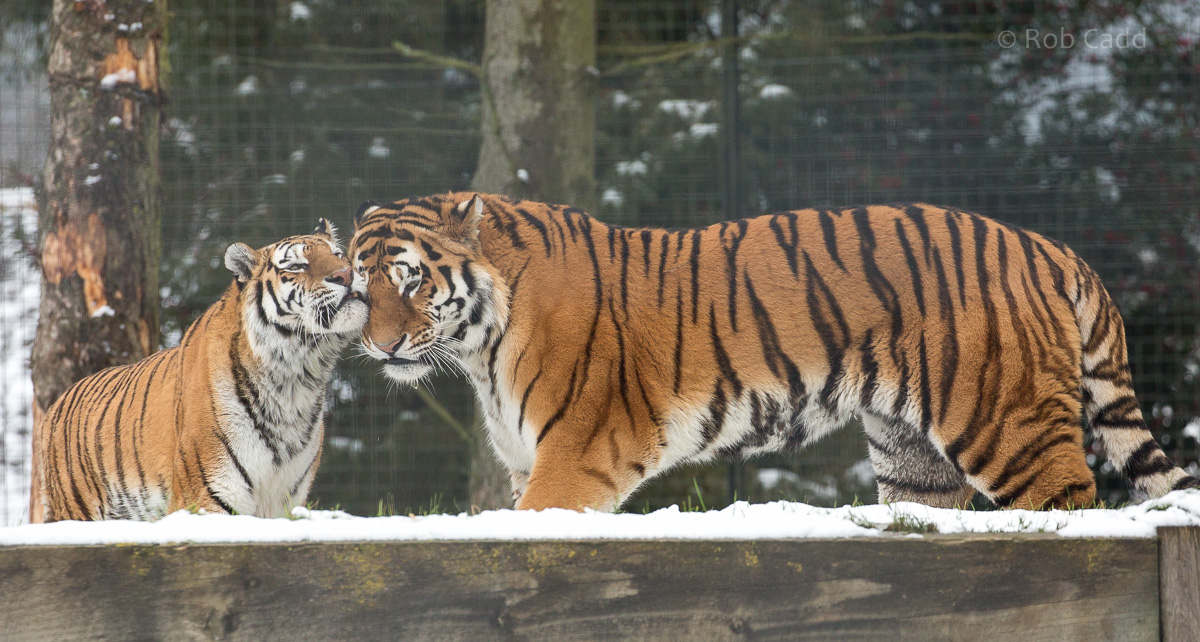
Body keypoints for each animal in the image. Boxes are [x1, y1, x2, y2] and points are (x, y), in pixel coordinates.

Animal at [30, 220, 368, 523]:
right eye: (296, 266)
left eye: (339, 255)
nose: (347, 274)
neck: (296, 377)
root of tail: (54, 407)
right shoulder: (207, 496)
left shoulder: (284, 502)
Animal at [348, 193, 1199, 512]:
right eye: (362, 285)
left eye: (412, 281)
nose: (380, 346)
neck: (479, 345)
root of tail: (1051, 248)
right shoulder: (527, 459)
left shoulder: (576, 455)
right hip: (911, 456)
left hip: (1010, 424)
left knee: (1071, 507)